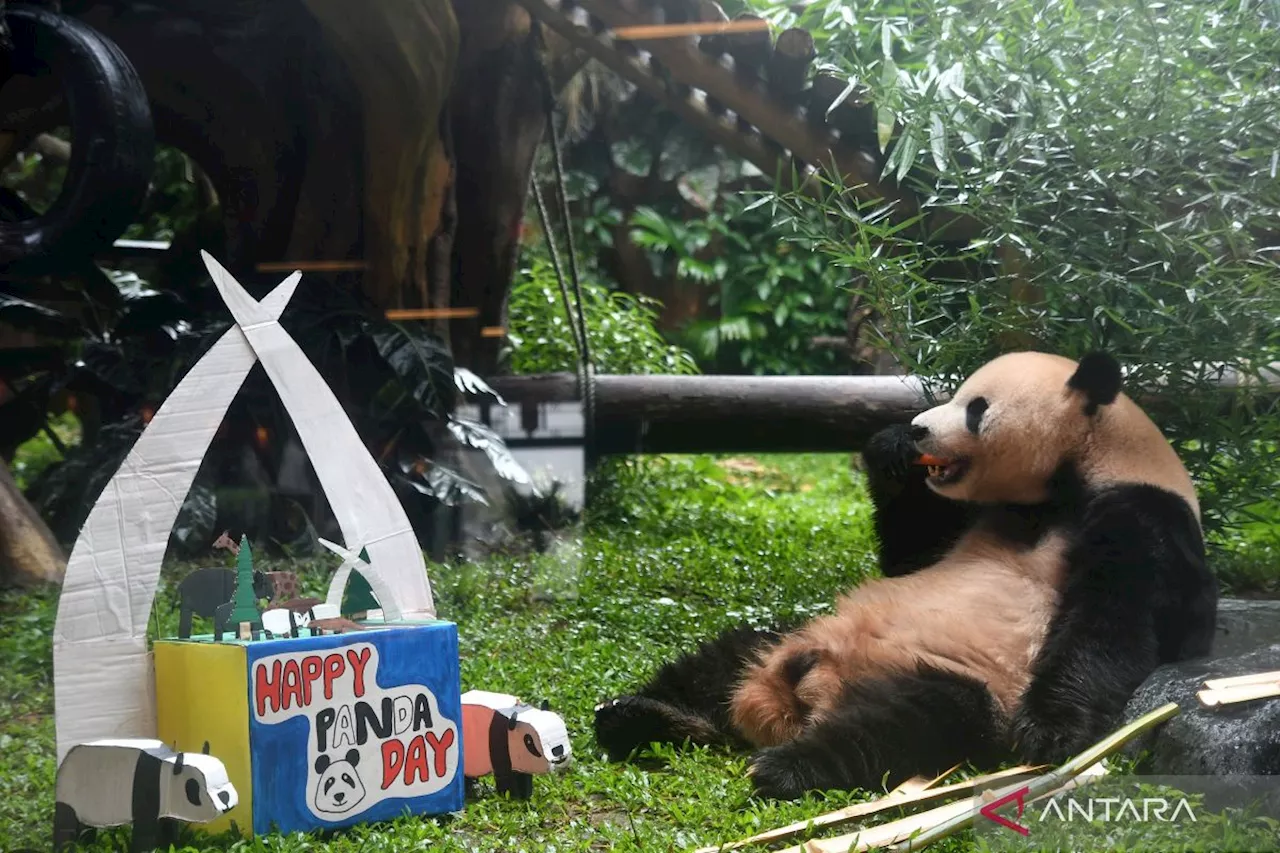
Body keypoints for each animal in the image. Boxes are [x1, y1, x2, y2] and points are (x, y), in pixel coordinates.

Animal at [593, 348, 1213, 799]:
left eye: (976, 407)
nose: (917, 429)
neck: (1068, 477)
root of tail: (792, 698)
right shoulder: (968, 516)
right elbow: (910, 555)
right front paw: (889, 452)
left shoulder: (1145, 513)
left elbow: (1117, 617)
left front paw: (1052, 732)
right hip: (791, 636)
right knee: (723, 657)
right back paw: (641, 716)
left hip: (958, 682)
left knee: (906, 720)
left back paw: (787, 767)